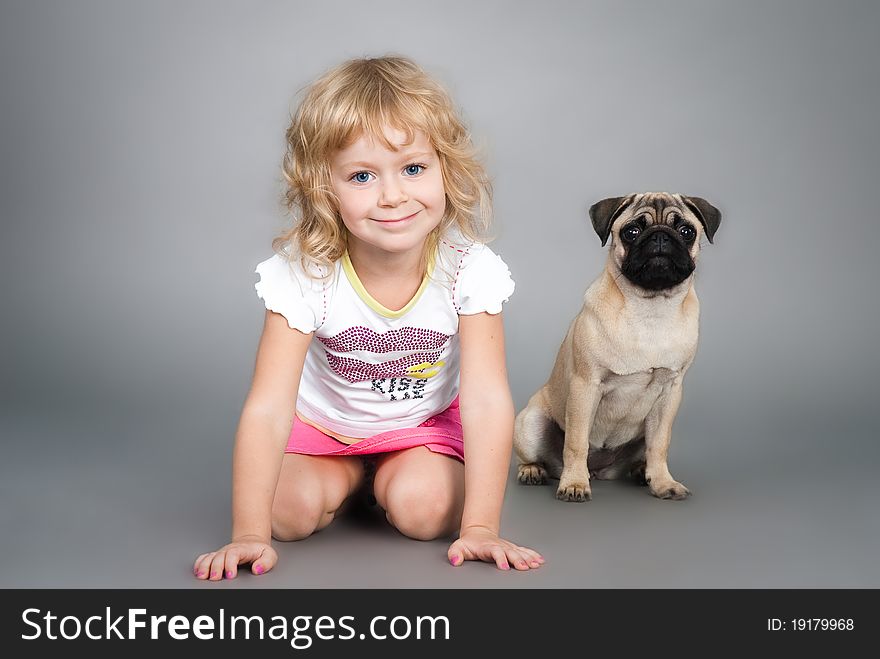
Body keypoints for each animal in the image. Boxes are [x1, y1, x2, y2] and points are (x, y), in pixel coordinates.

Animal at [512, 193, 720, 502]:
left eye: (686, 231)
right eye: (631, 232)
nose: (660, 236)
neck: (650, 307)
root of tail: (598, 470)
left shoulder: (670, 392)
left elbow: (660, 445)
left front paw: (663, 483)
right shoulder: (585, 386)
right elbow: (576, 442)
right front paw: (574, 484)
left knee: (645, 452)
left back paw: (641, 472)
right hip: (530, 424)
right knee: (537, 456)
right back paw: (534, 471)